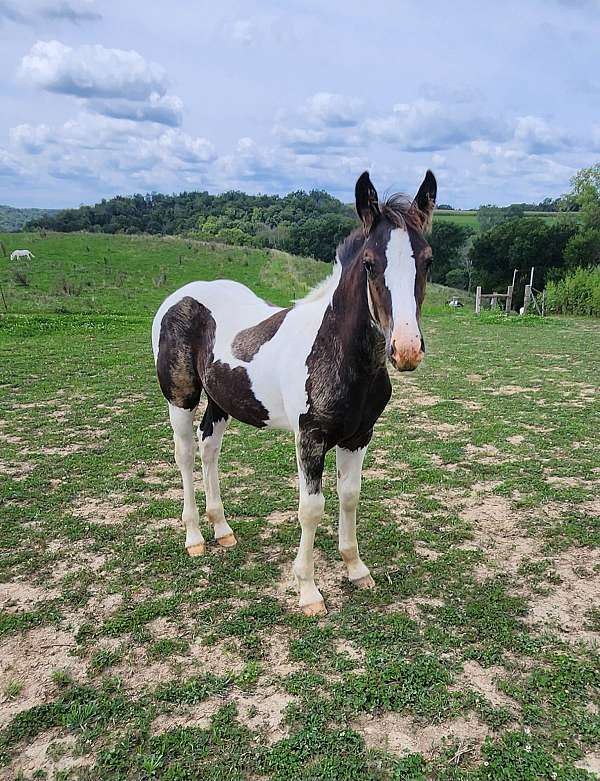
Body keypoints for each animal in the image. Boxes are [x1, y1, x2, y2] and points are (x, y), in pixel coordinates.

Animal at [152, 171, 436, 616]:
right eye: (369, 263)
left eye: (427, 260)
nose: (406, 349)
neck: (336, 351)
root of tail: (179, 296)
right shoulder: (310, 437)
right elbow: (311, 509)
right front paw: (307, 590)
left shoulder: (359, 437)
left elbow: (350, 497)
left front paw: (356, 569)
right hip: (180, 397)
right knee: (184, 455)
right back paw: (195, 537)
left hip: (220, 400)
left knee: (208, 447)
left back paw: (222, 529)